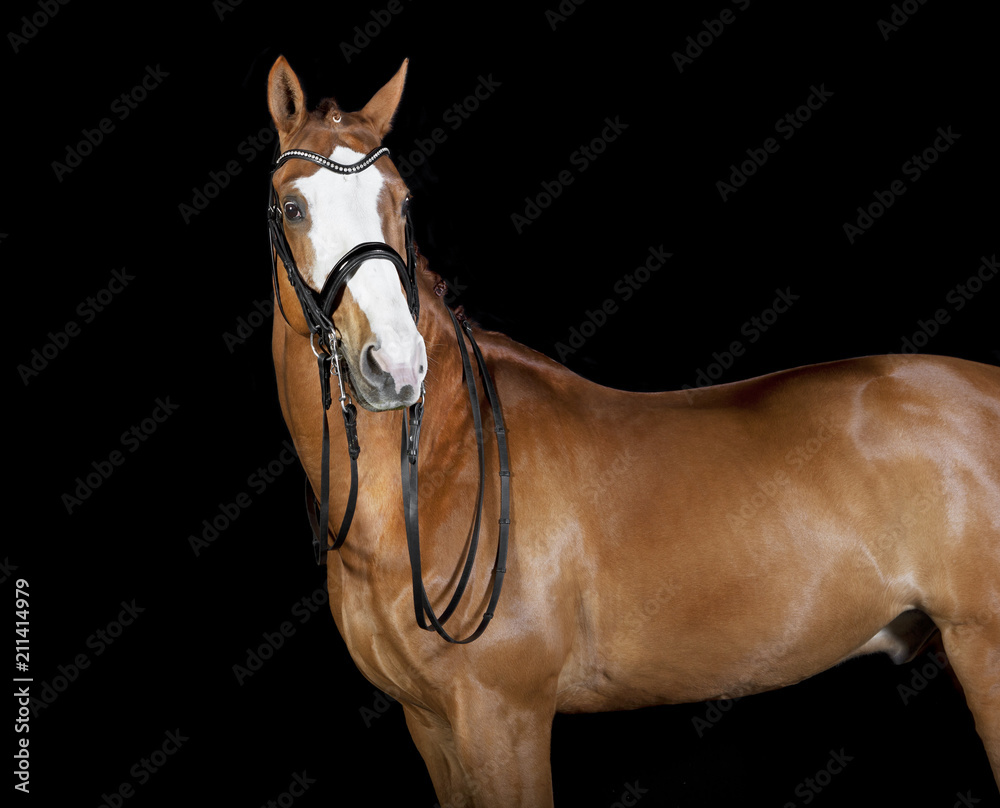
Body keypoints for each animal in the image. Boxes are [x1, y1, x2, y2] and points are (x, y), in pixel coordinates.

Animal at [265, 56, 1000, 806]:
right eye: (293, 208)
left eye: (404, 201)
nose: (396, 364)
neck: (443, 471)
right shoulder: (432, 726)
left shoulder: (504, 718)